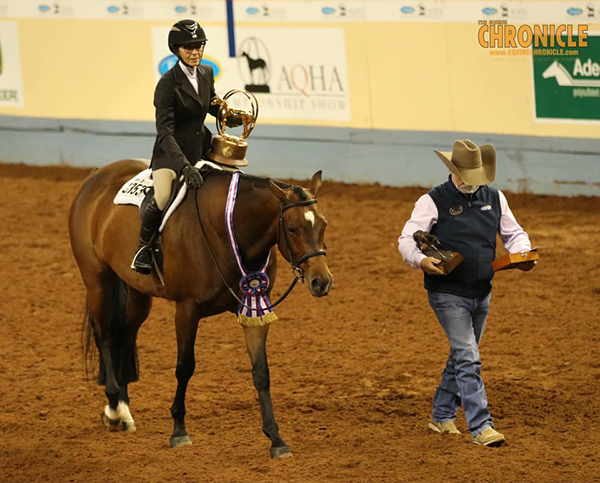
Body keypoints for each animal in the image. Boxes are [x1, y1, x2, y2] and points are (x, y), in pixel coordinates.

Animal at [70, 161, 332, 460]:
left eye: (323, 224)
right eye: (292, 229)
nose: (321, 282)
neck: (230, 230)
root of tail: (98, 174)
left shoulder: (255, 308)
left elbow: (261, 372)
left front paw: (276, 439)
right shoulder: (187, 309)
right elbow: (185, 367)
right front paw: (179, 431)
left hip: (136, 289)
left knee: (124, 335)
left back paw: (124, 409)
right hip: (96, 278)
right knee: (104, 335)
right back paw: (114, 409)